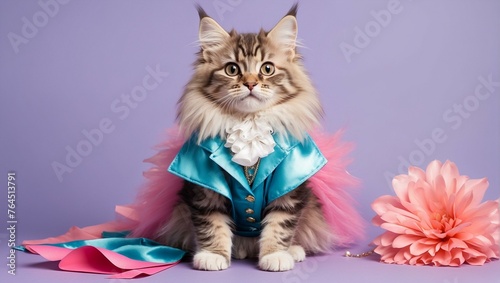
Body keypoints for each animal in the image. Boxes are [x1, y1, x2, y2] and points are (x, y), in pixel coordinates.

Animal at [154, 5, 332, 272]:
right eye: (232, 69)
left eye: (267, 69)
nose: (250, 83)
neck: (249, 122)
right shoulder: (206, 188)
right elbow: (212, 224)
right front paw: (213, 255)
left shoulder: (288, 188)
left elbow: (280, 224)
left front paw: (275, 255)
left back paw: (293, 251)